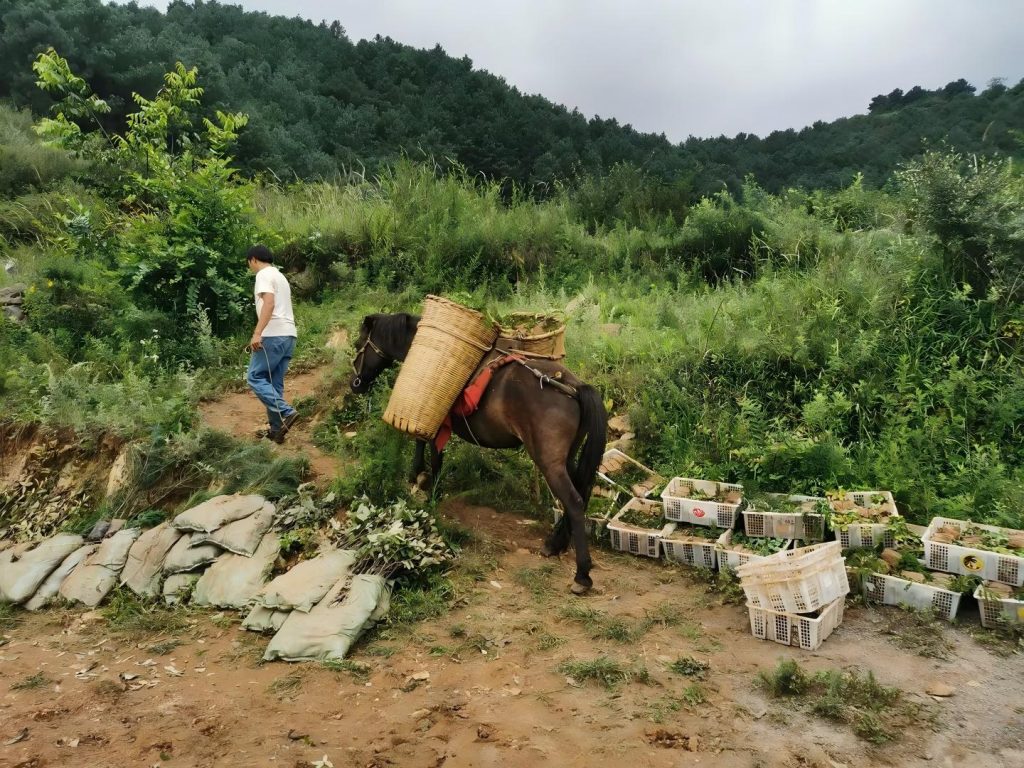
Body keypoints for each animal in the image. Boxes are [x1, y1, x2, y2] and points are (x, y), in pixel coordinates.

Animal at [349, 312, 608, 594]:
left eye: (358, 344)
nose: (354, 384)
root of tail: (574, 386)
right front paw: (426, 483)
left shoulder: (437, 422)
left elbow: (429, 451)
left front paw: (424, 485)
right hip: (566, 458)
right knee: (580, 492)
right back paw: (554, 544)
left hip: (549, 462)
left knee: (574, 502)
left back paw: (582, 575)